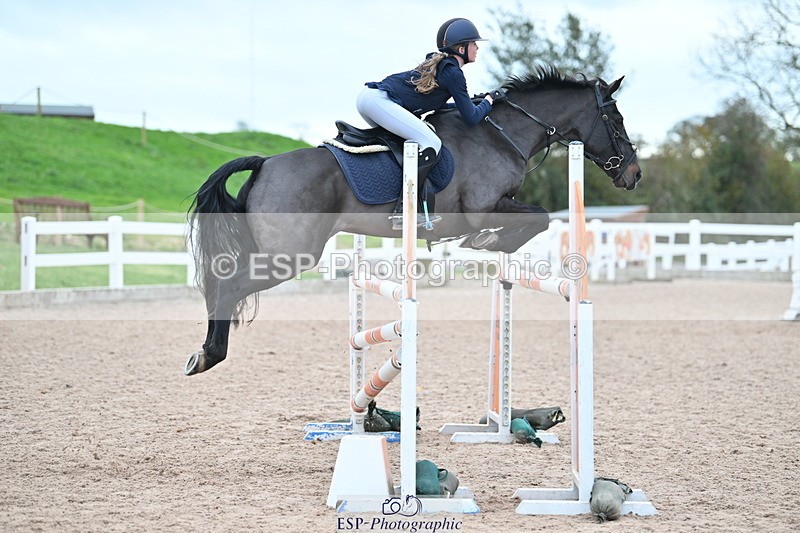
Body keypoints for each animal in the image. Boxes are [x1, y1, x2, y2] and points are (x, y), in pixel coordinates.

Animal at [184, 65, 640, 376]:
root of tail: (265, 164)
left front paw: (490, 244)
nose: (633, 174)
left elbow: (535, 221)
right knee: (229, 284)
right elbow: (539, 219)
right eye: (616, 120)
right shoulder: (483, 207)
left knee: (217, 281)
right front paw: (489, 243)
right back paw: (208, 355)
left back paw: (204, 349)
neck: (500, 133)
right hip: (291, 255)